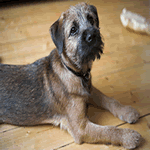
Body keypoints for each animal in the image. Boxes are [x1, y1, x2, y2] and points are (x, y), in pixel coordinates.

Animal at [0, 2, 142, 150]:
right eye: (73, 30)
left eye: (91, 19)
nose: (92, 35)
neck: (74, 71)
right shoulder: (81, 128)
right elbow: (109, 130)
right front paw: (129, 136)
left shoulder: (89, 91)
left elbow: (109, 99)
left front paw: (127, 111)